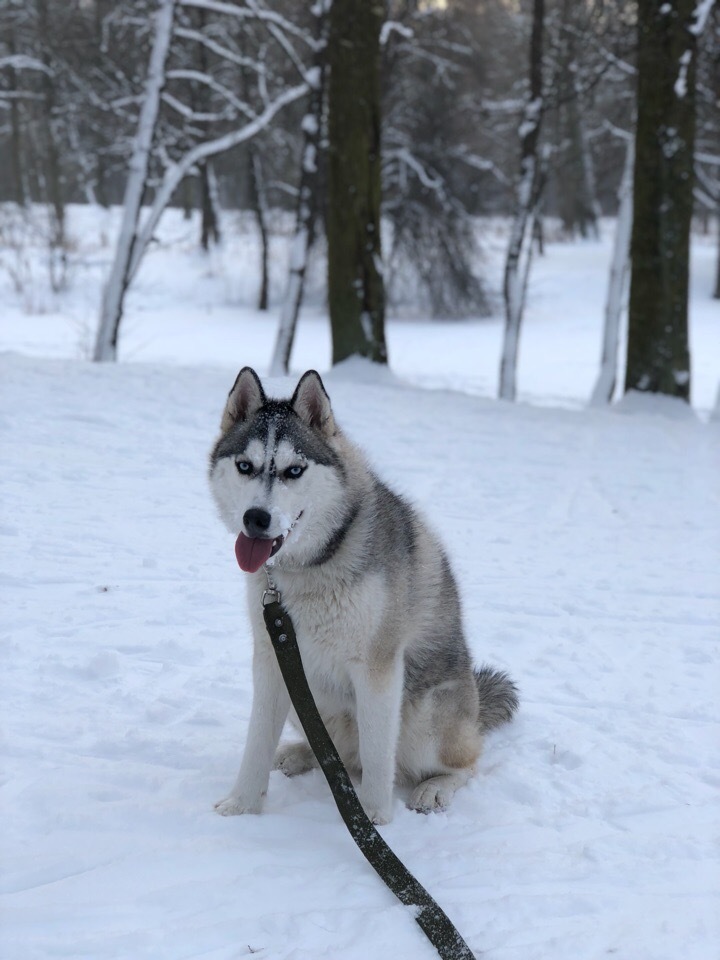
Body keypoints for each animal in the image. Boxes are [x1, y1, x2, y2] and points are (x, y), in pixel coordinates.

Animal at [208, 368, 516, 824]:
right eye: (245, 466)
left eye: (294, 470)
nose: (256, 518)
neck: (312, 565)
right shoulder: (273, 657)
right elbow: (257, 742)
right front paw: (242, 805)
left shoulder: (377, 668)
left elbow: (376, 754)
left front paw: (371, 817)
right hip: (307, 697)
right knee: (336, 754)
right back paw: (298, 754)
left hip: (425, 716)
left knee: (460, 763)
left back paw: (435, 788)